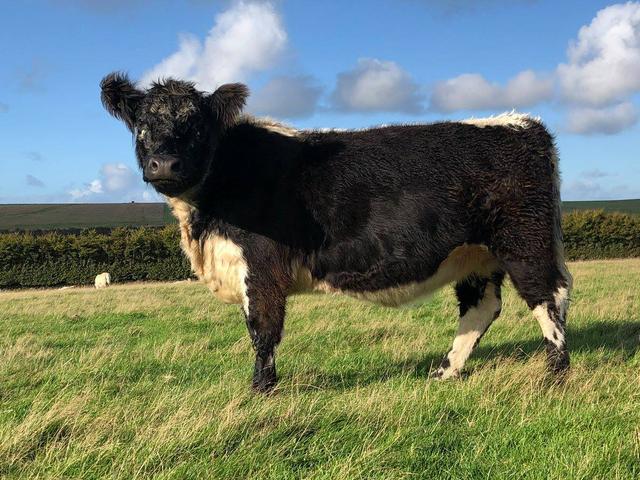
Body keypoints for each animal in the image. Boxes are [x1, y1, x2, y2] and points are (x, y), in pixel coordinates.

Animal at [100, 73, 573, 392]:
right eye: (142, 125)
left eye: (196, 126)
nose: (164, 164)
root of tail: (522, 124)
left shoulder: (262, 266)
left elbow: (262, 328)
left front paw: (260, 390)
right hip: (475, 253)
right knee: (482, 306)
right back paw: (445, 371)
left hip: (524, 240)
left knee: (549, 295)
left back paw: (555, 371)